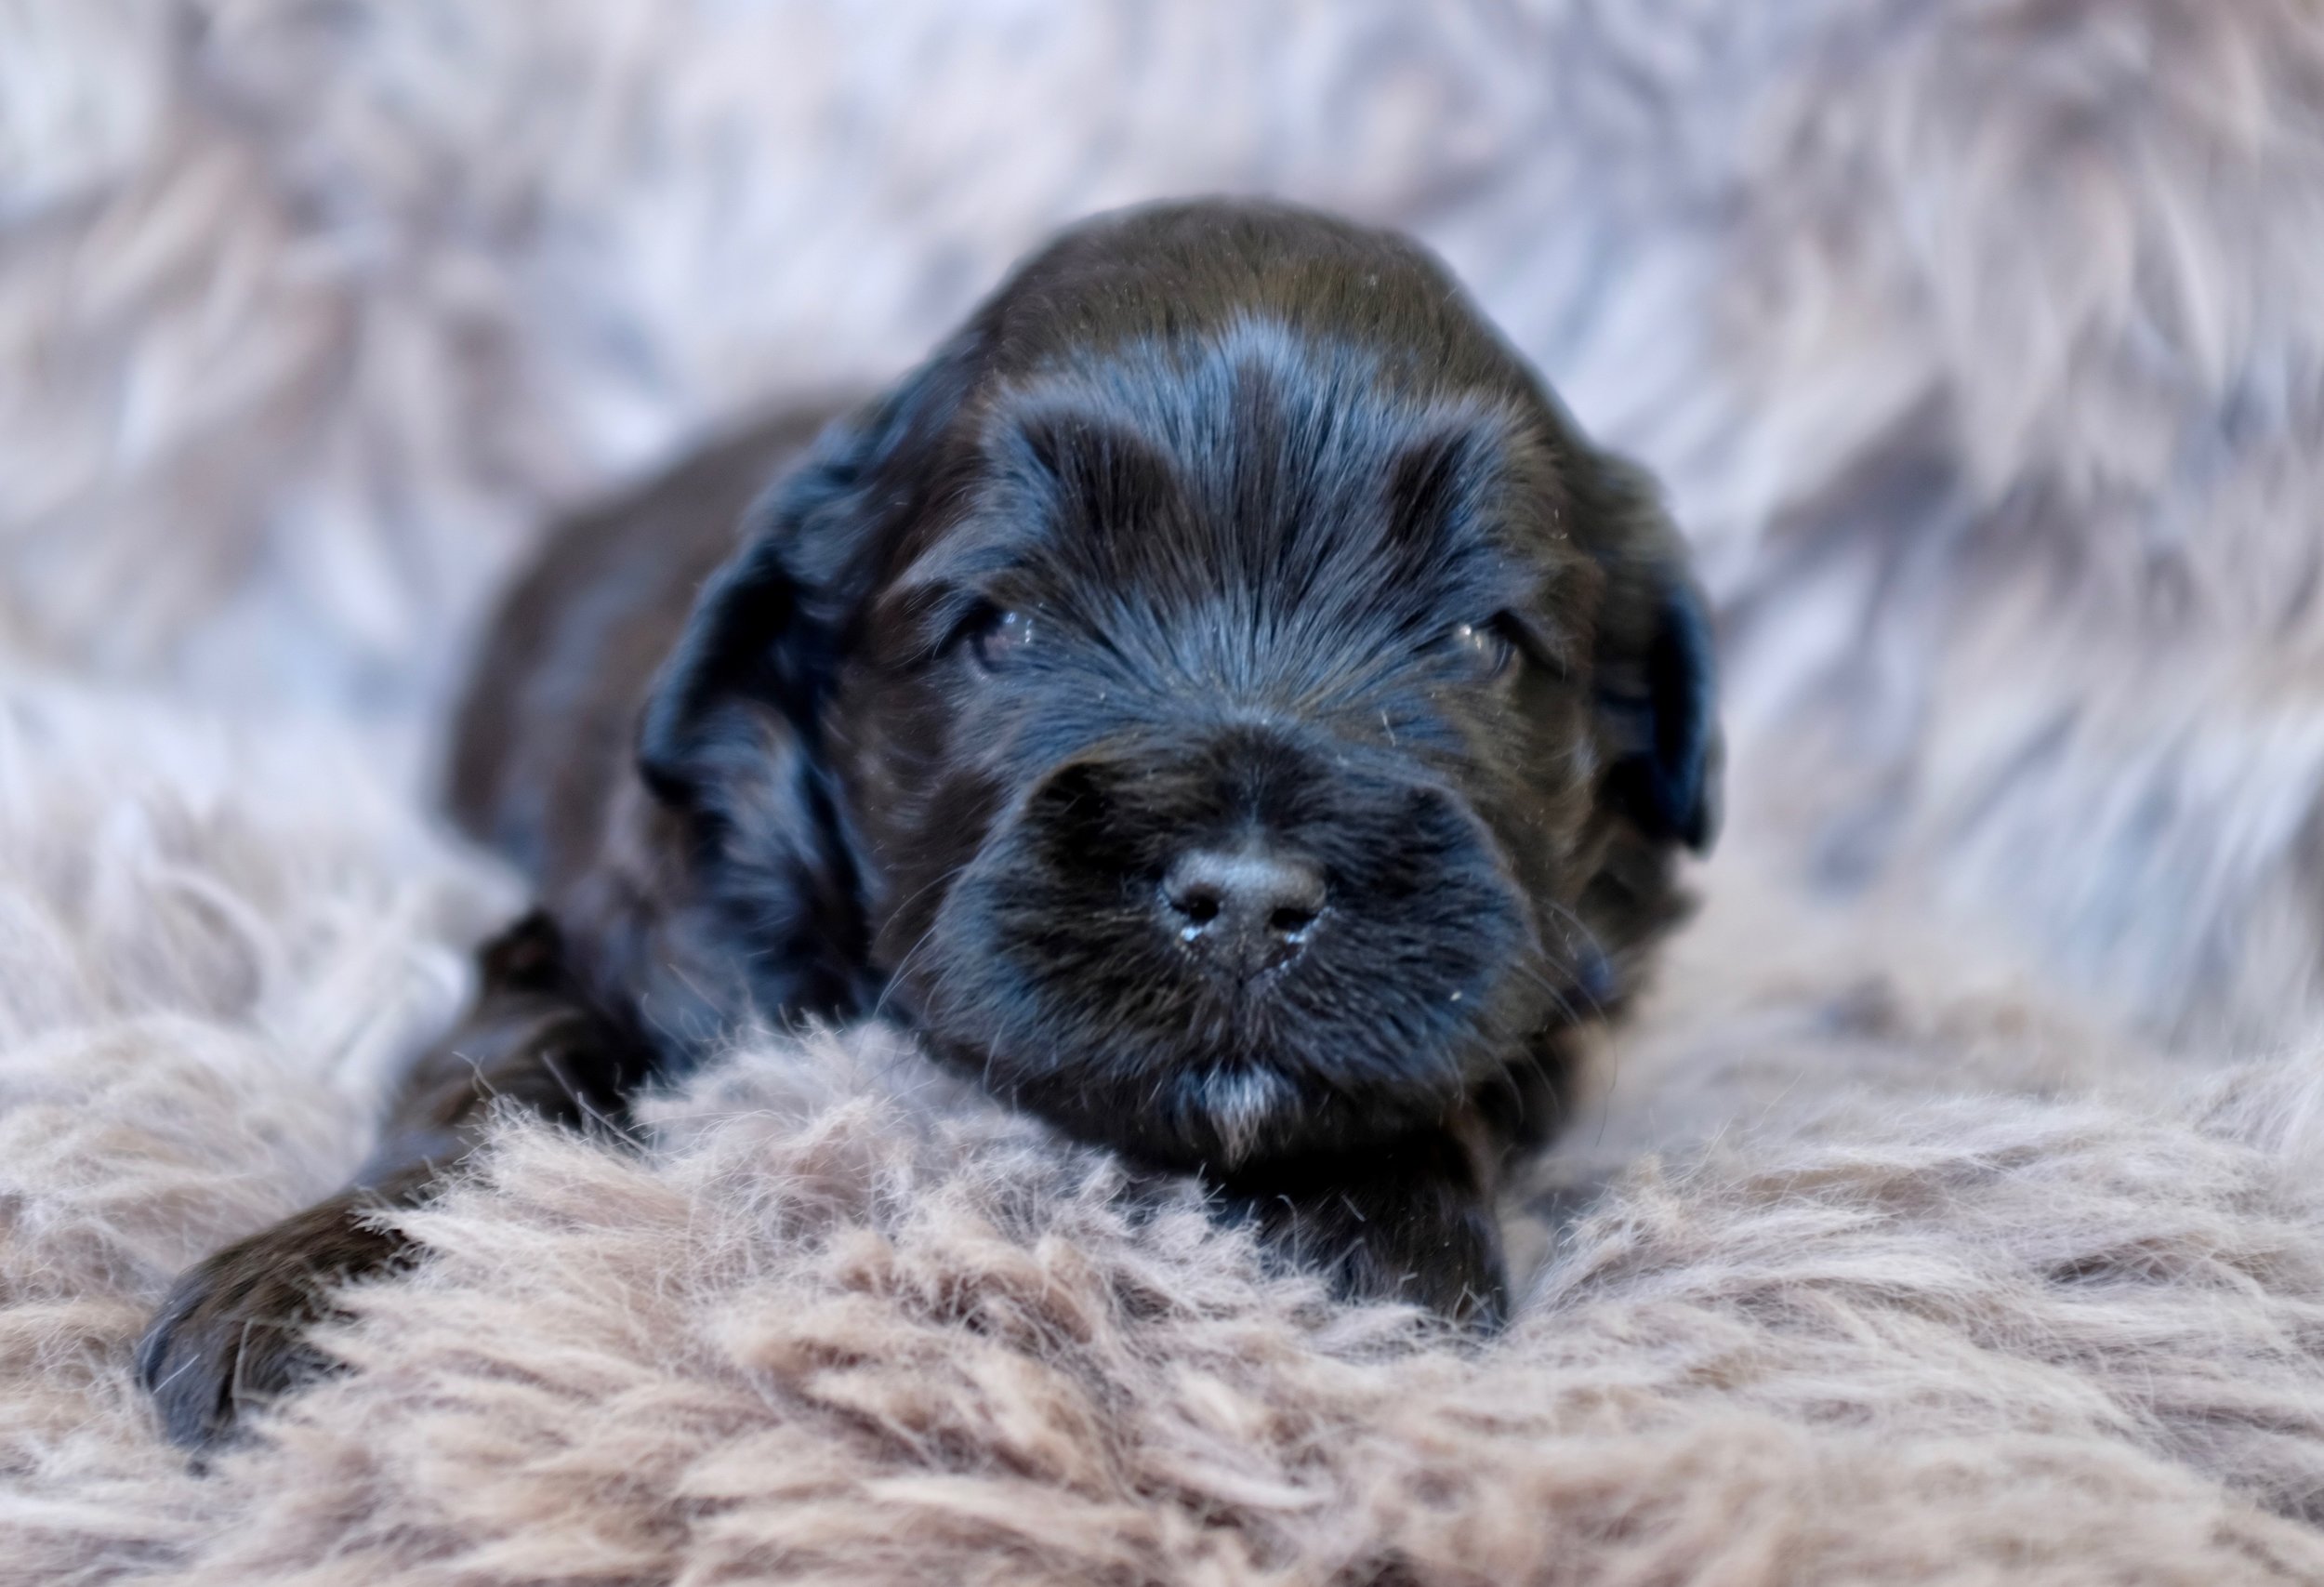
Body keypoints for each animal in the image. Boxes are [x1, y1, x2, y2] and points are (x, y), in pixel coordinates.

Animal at [140, 202, 1710, 1449]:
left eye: (1478, 637)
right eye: (1003, 627)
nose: (1250, 897)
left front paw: (1378, 1248)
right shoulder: (630, 920)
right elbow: (497, 1072)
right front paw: (312, 1284)